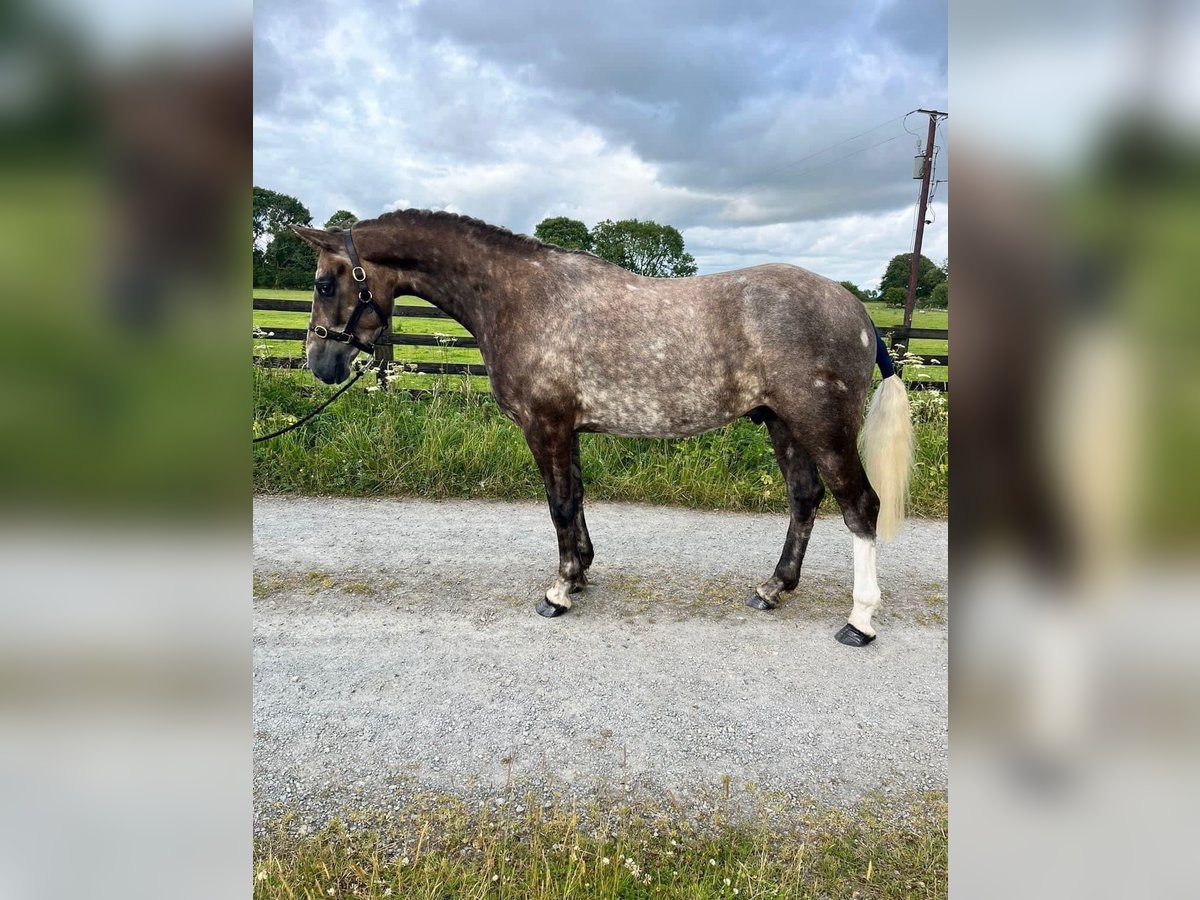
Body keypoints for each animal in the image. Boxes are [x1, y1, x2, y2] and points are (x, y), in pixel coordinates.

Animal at [290, 211, 907, 648]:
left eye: (323, 284)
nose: (319, 363)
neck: (517, 296)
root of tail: (859, 312)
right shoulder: (568, 430)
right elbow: (577, 498)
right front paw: (581, 573)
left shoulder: (545, 427)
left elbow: (559, 504)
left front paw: (560, 591)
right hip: (783, 424)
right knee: (805, 499)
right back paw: (772, 589)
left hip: (821, 427)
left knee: (860, 507)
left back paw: (860, 621)